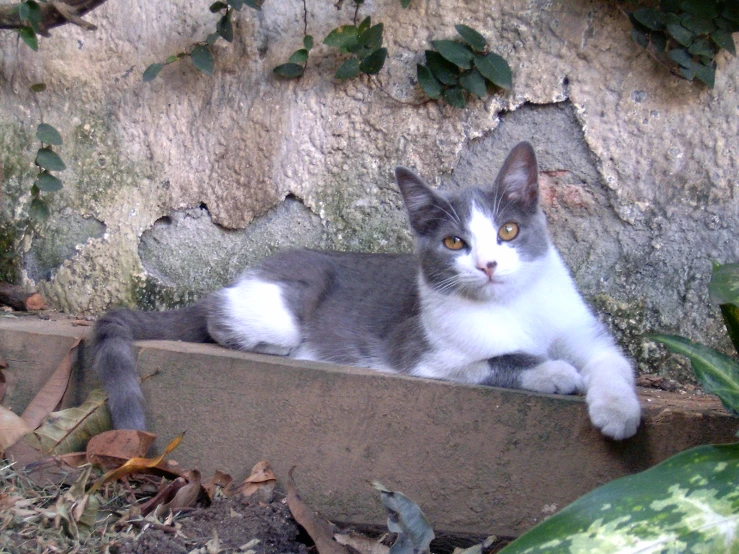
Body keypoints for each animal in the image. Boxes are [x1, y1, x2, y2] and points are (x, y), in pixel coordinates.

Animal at [94, 142, 640, 440]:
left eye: (508, 231)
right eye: (454, 242)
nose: (487, 265)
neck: (515, 306)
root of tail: (236, 277)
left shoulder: (582, 329)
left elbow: (611, 361)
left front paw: (618, 412)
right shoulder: (421, 353)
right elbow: (491, 360)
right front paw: (553, 371)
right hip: (278, 309)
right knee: (223, 321)